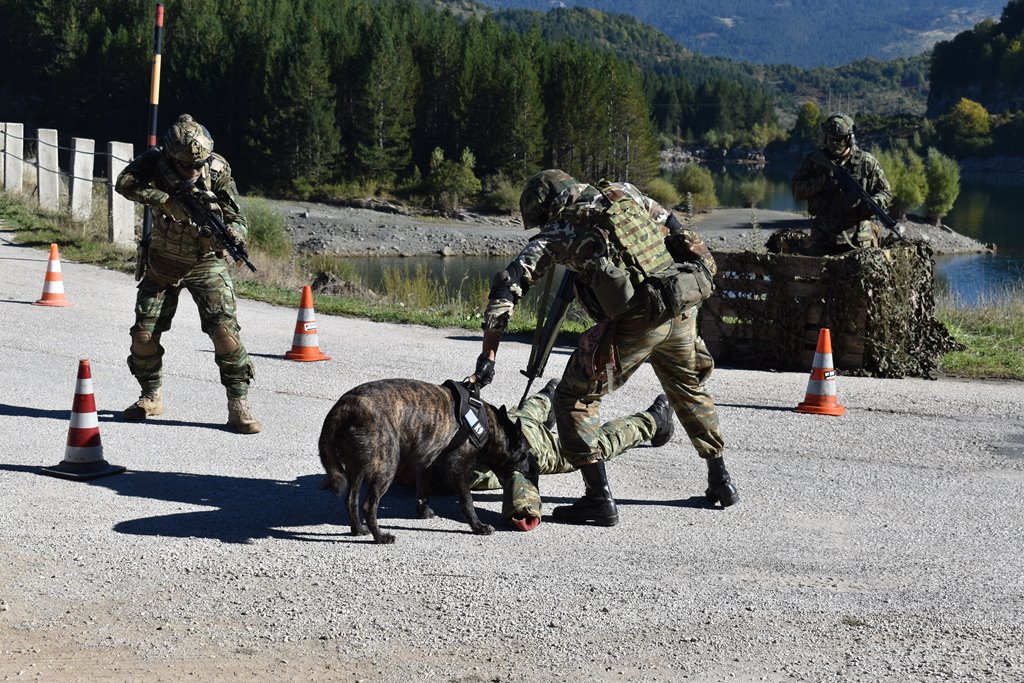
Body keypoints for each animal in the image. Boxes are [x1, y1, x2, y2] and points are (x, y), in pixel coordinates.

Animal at [319, 378, 540, 544]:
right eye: (526, 453)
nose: (536, 469)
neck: (491, 427)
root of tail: (345, 406)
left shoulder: (426, 464)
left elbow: (423, 491)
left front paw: (423, 511)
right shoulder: (457, 470)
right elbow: (467, 502)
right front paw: (478, 527)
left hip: (358, 469)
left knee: (351, 500)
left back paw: (358, 528)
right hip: (386, 467)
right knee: (368, 506)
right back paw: (380, 537)